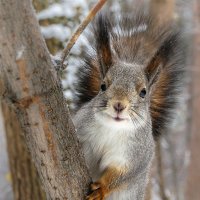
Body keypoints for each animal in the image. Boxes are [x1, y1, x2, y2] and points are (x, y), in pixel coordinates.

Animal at [72, 8, 185, 200]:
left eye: (143, 92)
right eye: (103, 85)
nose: (119, 105)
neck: (112, 128)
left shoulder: (134, 158)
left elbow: (119, 176)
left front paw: (100, 190)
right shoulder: (82, 132)